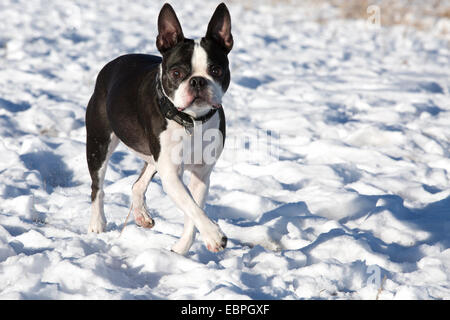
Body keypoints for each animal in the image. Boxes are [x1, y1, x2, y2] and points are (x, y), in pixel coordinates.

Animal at [85, 2, 232, 255]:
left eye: (216, 70)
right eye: (176, 73)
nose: (198, 81)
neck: (191, 121)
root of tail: (113, 64)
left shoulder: (201, 173)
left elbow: (193, 210)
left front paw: (181, 249)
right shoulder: (171, 173)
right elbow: (192, 207)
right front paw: (215, 235)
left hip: (154, 158)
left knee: (137, 184)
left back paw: (142, 215)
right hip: (99, 142)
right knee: (98, 186)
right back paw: (97, 223)